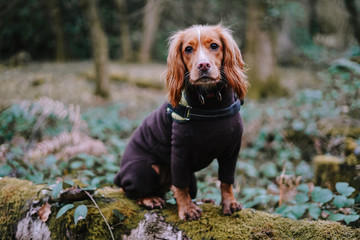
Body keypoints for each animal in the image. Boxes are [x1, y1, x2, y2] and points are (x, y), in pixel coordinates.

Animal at [114, 23, 248, 219]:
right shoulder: (180, 152)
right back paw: (150, 199)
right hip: (142, 170)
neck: (209, 101)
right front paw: (187, 209)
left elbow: (226, 180)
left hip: (193, 180)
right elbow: (180, 185)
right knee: (130, 191)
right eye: (188, 49)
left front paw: (229, 203)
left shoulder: (231, 150)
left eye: (214, 46)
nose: (203, 65)